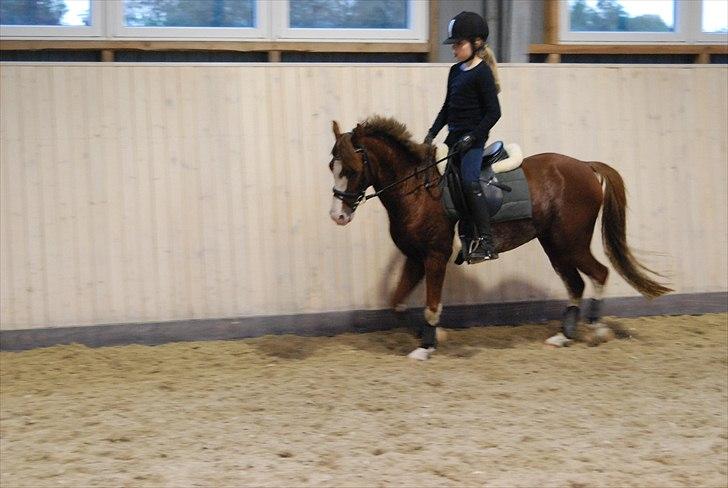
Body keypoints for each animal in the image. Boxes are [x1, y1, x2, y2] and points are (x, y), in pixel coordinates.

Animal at [328, 116, 671, 360]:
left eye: (354, 169)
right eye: (332, 166)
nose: (337, 216)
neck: (417, 190)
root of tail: (585, 166)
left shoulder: (434, 256)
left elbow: (431, 304)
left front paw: (426, 347)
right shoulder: (414, 257)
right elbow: (398, 303)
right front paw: (432, 336)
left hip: (571, 243)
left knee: (599, 273)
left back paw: (597, 331)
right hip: (555, 245)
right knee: (576, 284)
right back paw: (564, 336)